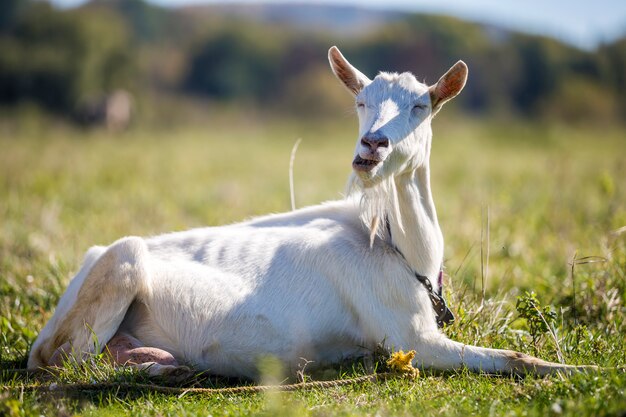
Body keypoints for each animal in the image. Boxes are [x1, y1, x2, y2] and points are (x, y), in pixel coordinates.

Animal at [26, 46, 588, 380]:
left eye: (420, 106)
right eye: (361, 102)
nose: (372, 146)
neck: (402, 250)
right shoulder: (412, 339)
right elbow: (515, 357)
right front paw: (583, 373)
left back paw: (154, 359)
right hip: (120, 263)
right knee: (65, 363)